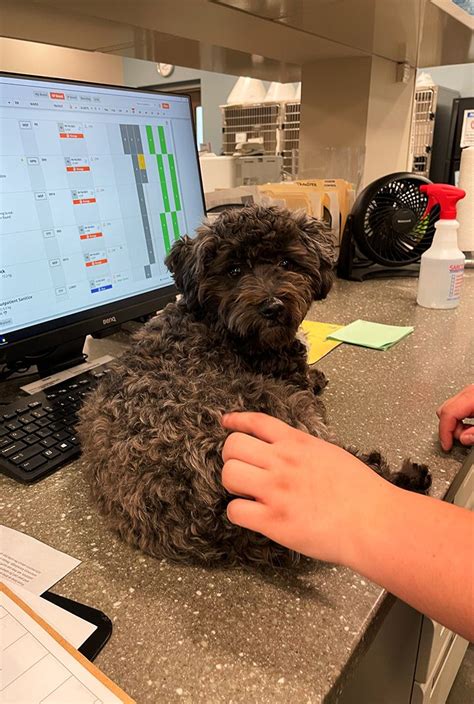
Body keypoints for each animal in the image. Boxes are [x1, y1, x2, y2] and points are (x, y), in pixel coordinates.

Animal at [78, 204, 434, 568]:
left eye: (286, 263)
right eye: (233, 270)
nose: (272, 306)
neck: (217, 324)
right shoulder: (291, 384)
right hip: (289, 412)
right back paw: (406, 477)